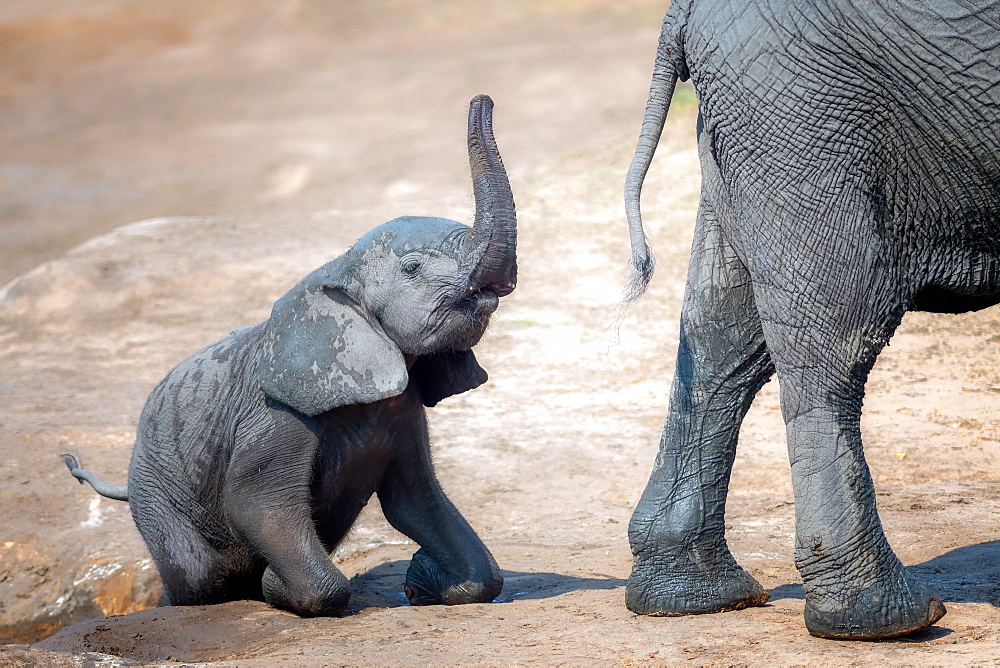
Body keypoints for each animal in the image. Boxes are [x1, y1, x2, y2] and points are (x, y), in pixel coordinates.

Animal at [62, 94, 516, 616]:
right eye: (413, 268)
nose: (483, 100)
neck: (335, 267)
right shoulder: (276, 415)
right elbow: (257, 505)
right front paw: (275, 589)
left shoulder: (402, 410)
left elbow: (419, 504)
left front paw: (421, 582)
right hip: (155, 491)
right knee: (199, 579)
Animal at [620, 0, 996, 640]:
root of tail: (684, 10)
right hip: (805, 104)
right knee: (835, 339)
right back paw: (881, 620)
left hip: (754, 125)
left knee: (723, 327)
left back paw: (693, 596)